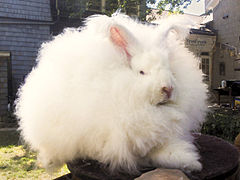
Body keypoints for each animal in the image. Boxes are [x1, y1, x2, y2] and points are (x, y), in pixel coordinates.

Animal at [15, 13, 208, 174]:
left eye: (171, 71)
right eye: (142, 72)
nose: (168, 88)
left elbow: (169, 152)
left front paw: (192, 163)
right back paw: (49, 161)